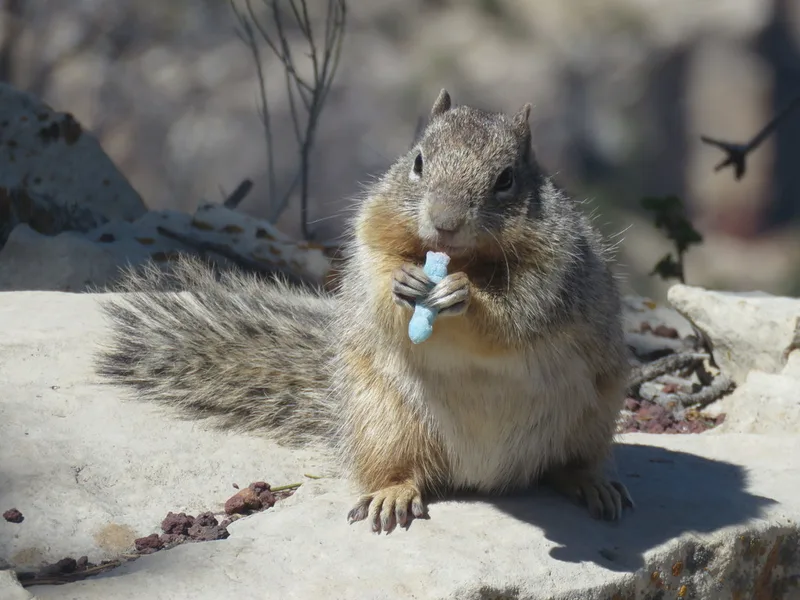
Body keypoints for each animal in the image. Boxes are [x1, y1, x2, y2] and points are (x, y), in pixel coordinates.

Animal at [95, 89, 634, 534]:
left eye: (506, 179)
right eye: (417, 161)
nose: (445, 222)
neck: (465, 259)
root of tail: (486, 478)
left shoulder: (558, 270)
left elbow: (518, 313)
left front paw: (464, 296)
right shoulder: (373, 231)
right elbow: (376, 275)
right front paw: (402, 281)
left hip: (594, 416)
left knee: (567, 464)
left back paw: (592, 484)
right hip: (384, 420)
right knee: (402, 470)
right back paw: (392, 494)